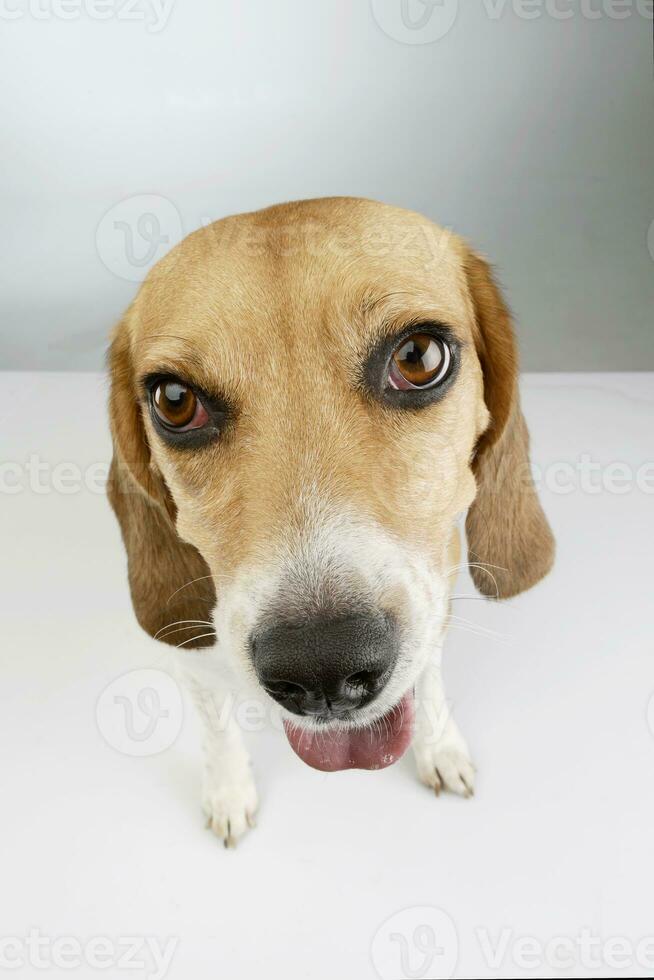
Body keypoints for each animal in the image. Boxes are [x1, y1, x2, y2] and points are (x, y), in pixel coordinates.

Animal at [106, 197, 552, 844]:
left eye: (417, 357)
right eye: (174, 401)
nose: (322, 667)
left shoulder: (434, 597)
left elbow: (428, 681)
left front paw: (439, 747)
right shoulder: (191, 649)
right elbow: (217, 728)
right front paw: (229, 791)